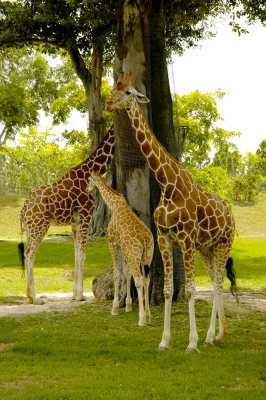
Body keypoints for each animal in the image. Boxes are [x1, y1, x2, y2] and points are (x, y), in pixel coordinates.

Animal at [17, 126, 115, 304]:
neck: (88, 175)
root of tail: (23, 211)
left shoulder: (75, 222)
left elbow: (76, 253)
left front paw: (75, 295)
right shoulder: (86, 215)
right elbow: (83, 254)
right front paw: (80, 296)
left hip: (29, 229)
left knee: (28, 253)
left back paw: (29, 297)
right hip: (40, 226)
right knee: (29, 254)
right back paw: (36, 298)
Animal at [87, 170, 154, 326]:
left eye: (89, 180)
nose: (87, 189)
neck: (114, 203)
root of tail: (145, 239)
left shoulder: (112, 242)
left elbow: (117, 273)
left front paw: (115, 308)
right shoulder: (124, 248)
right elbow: (127, 273)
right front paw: (128, 305)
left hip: (134, 255)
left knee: (139, 279)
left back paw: (142, 319)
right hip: (146, 256)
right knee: (146, 279)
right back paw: (148, 316)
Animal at [105, 73, 236, 352]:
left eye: (129, 92)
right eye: (112, 90)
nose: (110, 104)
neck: (167, 185)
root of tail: (230, 215)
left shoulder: (185, 240)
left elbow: (189, 290)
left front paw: (191, 343)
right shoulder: (165, 238)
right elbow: (167, 289)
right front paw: (164, 341)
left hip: (223, 244)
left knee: (219, 283)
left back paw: (211, 336)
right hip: (207, 248)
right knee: (216, 283)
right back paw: (216, 335)